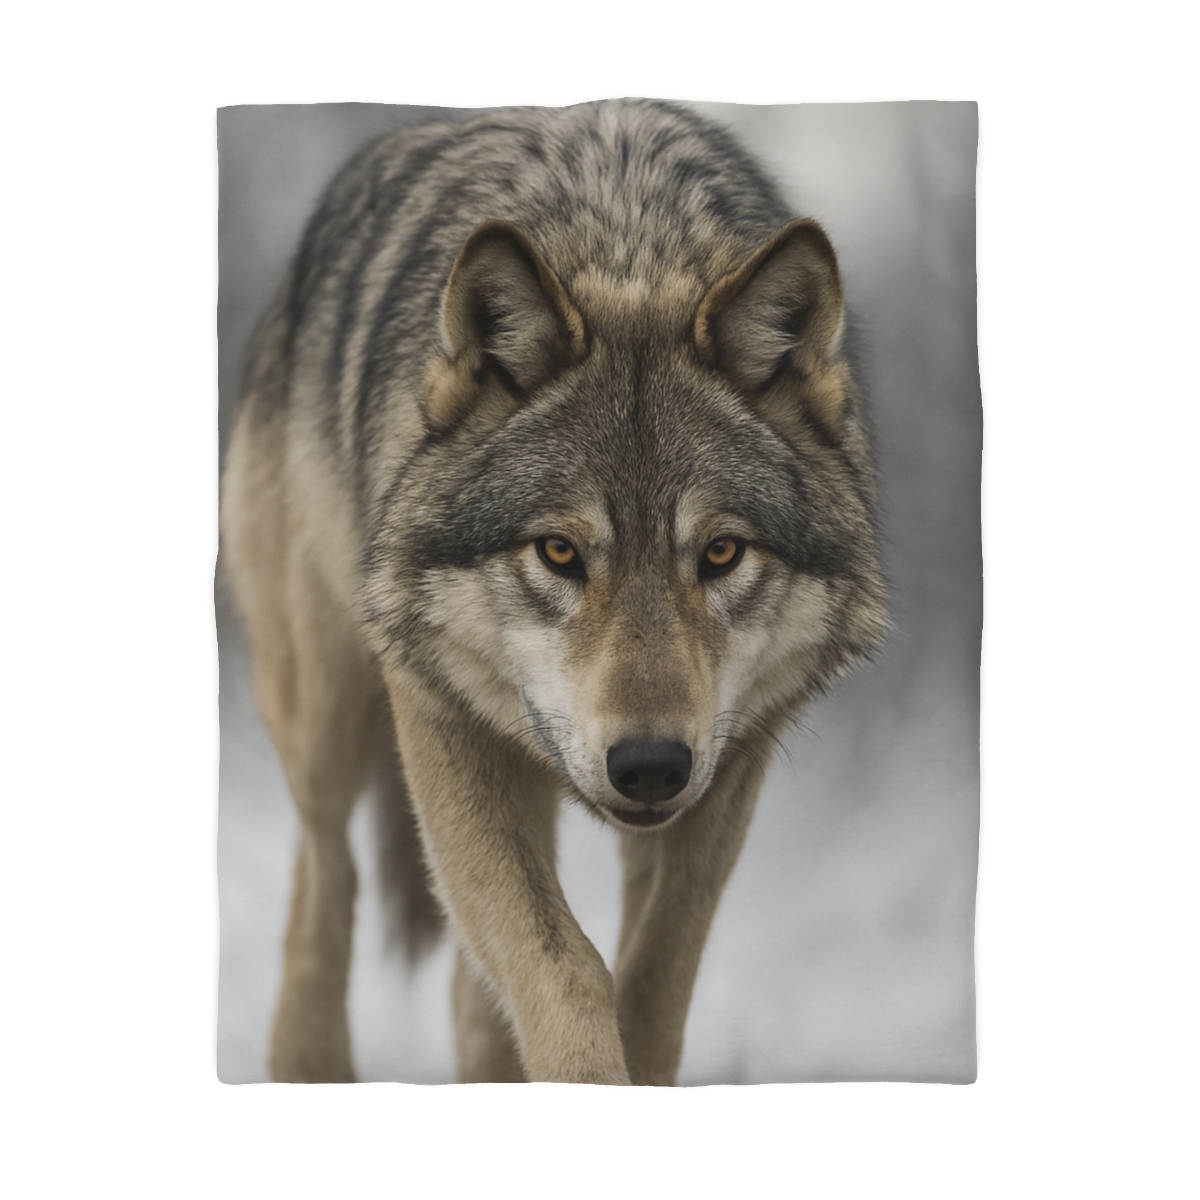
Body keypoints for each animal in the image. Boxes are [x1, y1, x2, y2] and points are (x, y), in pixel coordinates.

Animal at [220, 99, 886, 1085]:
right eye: (561, 551)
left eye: (722, 552)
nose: (648, 765)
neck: (626, 238)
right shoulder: (442, 721)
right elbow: (569, 968)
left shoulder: (734, 759)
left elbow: (651, 985)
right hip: (328, 712)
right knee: (324, 884)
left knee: (469, 993)